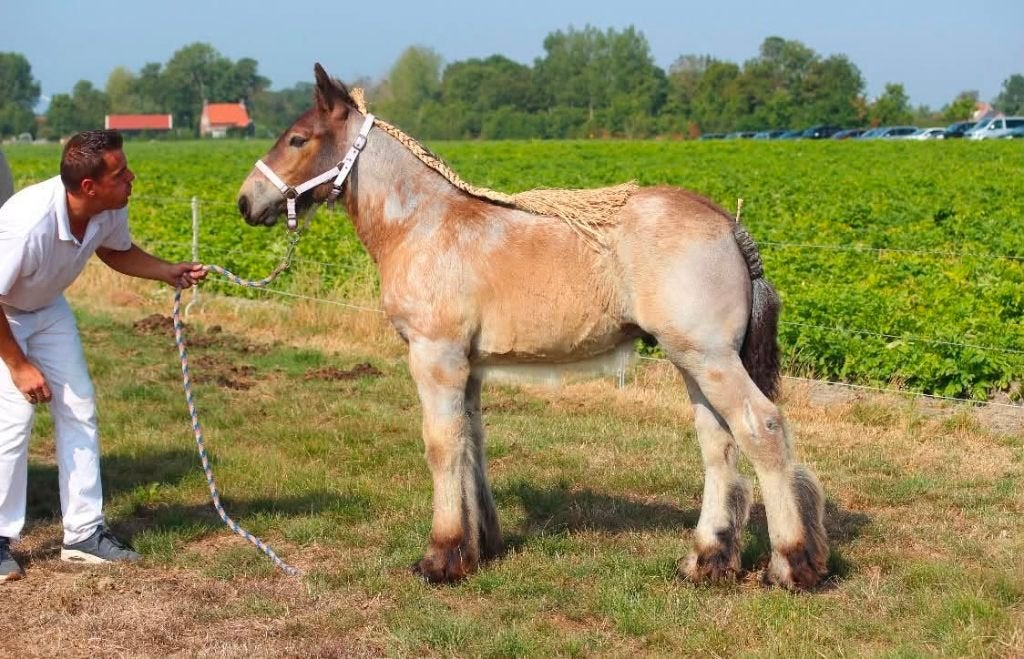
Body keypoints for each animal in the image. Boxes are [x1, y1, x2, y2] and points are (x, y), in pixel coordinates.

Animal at [237, 64, 829, 590]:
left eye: (297, 139)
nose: (246, 201)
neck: (424, 225)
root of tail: (728, 224)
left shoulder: (434, 356)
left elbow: (441, 444)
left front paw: (440, 558)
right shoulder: (468, 366)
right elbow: (471, 440)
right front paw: (480, 546)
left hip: (710, 358)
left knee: (761, 428)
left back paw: (790, 566)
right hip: (695, 361)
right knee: (718, 442)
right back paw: (707, 561)